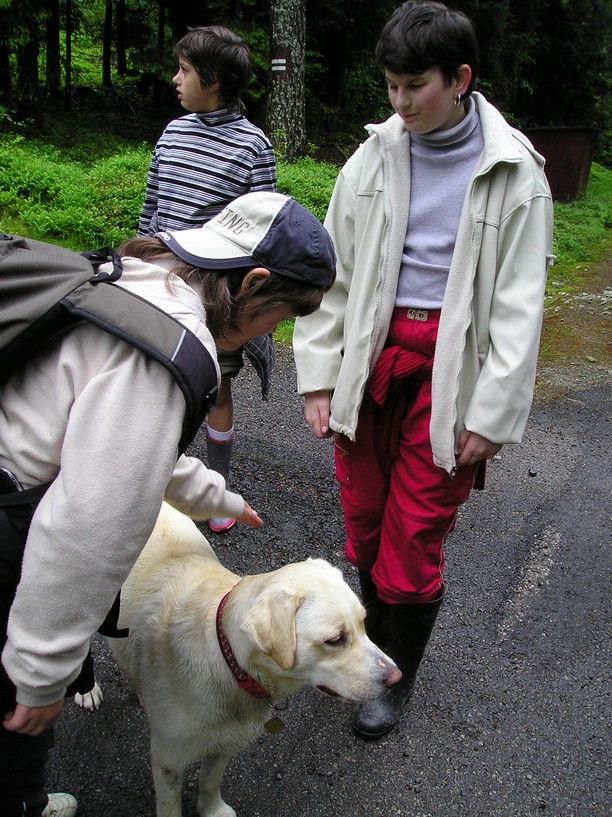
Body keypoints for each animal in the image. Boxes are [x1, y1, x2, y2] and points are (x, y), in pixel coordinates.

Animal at [108, 502, 401, 817]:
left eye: (363, 624)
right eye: (335, 639)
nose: (397, 677)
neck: (229, 663)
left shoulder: (226, 742)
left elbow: (210, 779)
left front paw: (213, 810)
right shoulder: (167, 758)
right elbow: (170, 805)